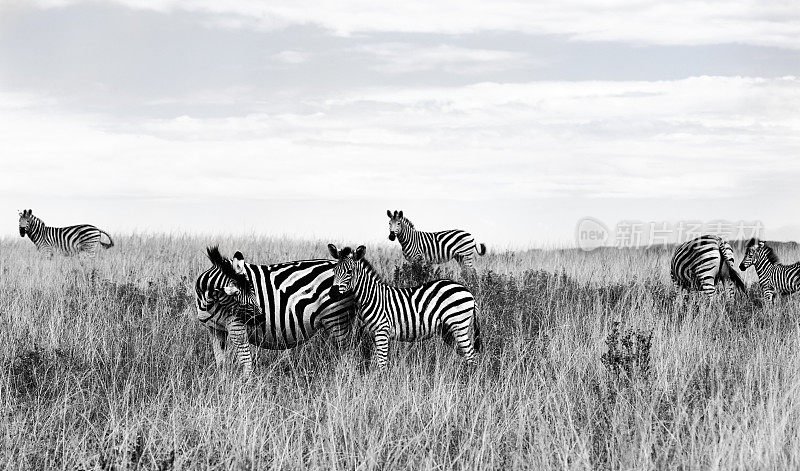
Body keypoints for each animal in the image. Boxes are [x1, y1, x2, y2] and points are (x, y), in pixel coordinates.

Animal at [195, 245, 354, 374]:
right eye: (236, 296)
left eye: (253, 290)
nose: (261, 317)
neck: (208, 302)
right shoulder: (215, 329)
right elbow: (221, 362)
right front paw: (222, 382)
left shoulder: (237, 326)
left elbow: (246, 362)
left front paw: (246, 385)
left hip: (336, 318)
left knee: (346, 352)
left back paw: (343, 376)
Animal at [326, 245, 482, 370]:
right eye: (334, 270)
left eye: (349, 272)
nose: (332, 293)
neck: (371, 297)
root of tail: (468, 292)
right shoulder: (376, 333)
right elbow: (379, 360)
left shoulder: (382, 331)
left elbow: (382, 363)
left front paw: (381, 384)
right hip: (448, 330)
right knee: (467, 355)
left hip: (459, 325)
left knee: (472, 356)